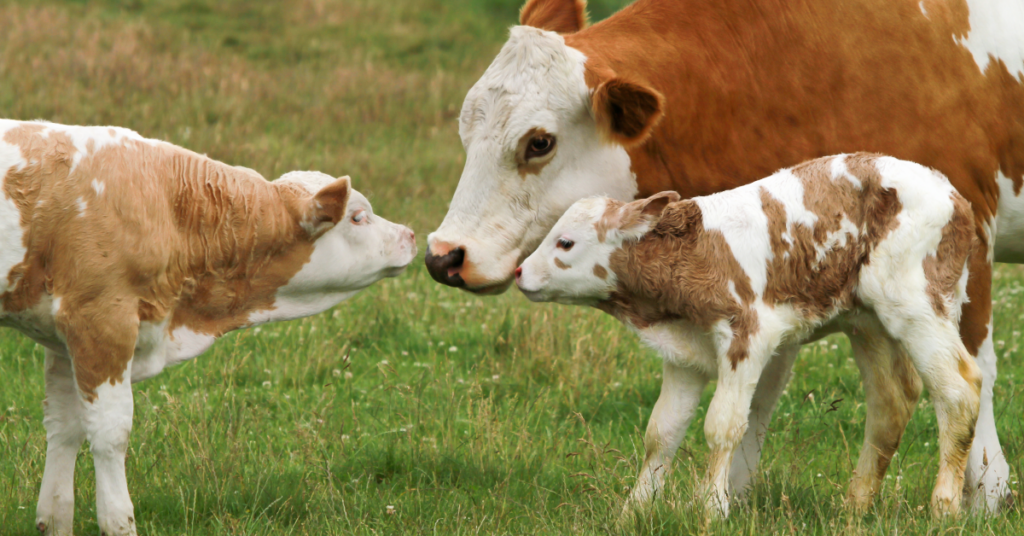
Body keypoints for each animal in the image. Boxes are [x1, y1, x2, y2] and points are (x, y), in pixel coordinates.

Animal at [1, 120, 415, 536]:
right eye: (358, 217)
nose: (410, 235)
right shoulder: (99, 319)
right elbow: (109, 434)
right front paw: (119, 521)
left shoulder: (62, 341)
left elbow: (64, 429)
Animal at [520, 152, 983, 518]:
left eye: (564, 243)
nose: (520, 272)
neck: (698, 251)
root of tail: (954, 196)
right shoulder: (685, 354)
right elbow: (662, 431)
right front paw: (633, 510)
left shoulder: (748, 336)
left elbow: (722, 425)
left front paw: (711, 507)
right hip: (867, 321)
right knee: (891, 401)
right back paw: (855, 505)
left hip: (916, 305)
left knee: (960, 390)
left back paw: (944, 507)